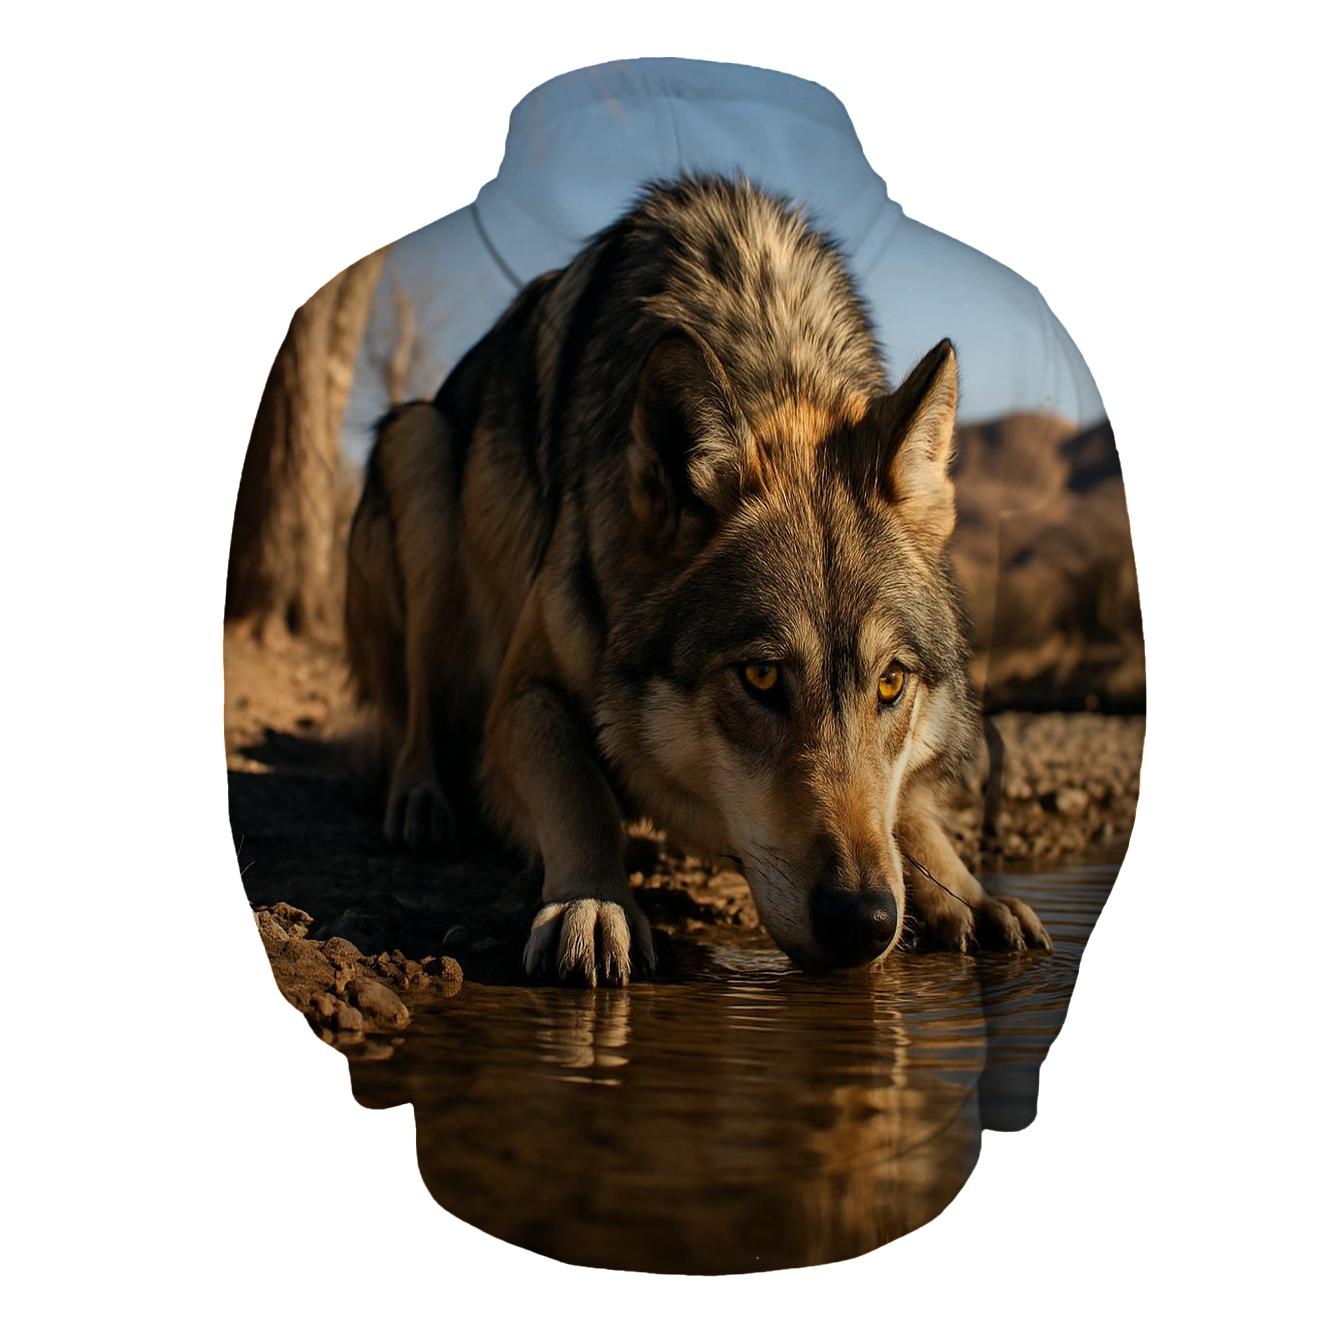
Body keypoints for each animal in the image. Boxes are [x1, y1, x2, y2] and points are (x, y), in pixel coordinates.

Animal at [345, 175, 1050, 984]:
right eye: (762, 678)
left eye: (891, 684)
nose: (864, 920)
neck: (770, 346)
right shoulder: (522, 699)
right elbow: (580, 791)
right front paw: (595, 902)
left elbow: (908, 809)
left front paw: (968, 890)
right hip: (419, 453)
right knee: (415, 717)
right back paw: (421, 802)